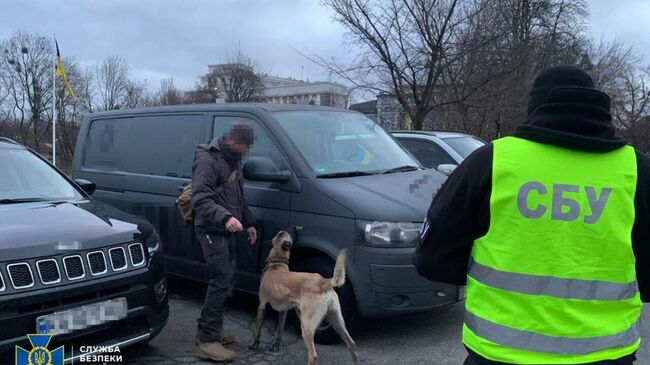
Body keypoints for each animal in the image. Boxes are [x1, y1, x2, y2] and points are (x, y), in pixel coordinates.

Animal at [249, 229, 360, 362]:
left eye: (280, 233)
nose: (290, 229)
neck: (276, 265)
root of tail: (322, 282)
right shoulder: (283, 311)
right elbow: (279, 331)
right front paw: (275, 345)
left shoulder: (262, 305)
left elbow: (258, 329)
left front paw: (254, 344)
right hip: (337, 321)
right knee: (352, 344)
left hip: (307, 325)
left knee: (313, 355)